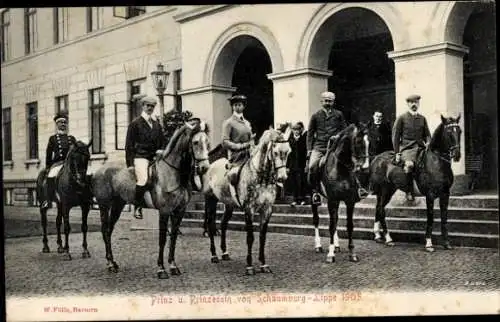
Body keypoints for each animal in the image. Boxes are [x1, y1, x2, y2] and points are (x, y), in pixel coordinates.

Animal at [91, 119, 210, 278]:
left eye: (207, 142)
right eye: (196, 142)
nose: (204, 168)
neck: (173, 173)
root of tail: (100, 170)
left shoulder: (179, 211)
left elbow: (173, 238)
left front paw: (173, 266)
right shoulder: (164, 211)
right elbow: (162, 239)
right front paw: (161, 269)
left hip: (118, 205)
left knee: (109, 230)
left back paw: (113, 263)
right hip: (104, 206)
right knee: (105, 230)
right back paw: (110, 264)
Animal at [312, 122, 372, 262]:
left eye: (369, 142)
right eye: (358, 142)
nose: (366, 169)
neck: (341, 169)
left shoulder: (349, 201)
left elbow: (349, 225)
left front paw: (352, 253)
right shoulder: (332, 200)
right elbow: (331, 226)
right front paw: (330, 254)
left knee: (336, 219)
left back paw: (337, 245)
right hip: (314, 199)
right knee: (316, 220)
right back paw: (318, 246)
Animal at [370, 115, 462, 252]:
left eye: (460, 131)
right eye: (449, 132)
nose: (457, 155)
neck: (437, 162)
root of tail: (377, 158)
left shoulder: (445, 194)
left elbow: (444, 218)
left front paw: (446, 243)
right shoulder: (430, 195)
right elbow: (430, 218)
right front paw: (429, 244)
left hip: (386, 191)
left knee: (377, 208)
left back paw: (377, 236)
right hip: (385, 190)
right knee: (381, 209)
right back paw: (388, 239)